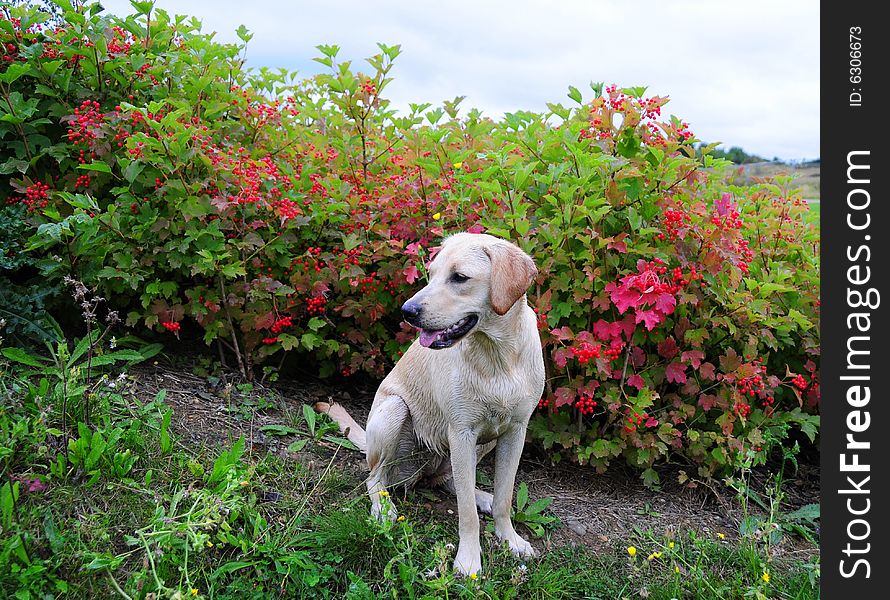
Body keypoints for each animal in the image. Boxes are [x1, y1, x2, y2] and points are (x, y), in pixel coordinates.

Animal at [320, 232, 540, 576]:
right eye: (431, 273)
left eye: (459, 277)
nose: (407, 311)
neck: (497, 356)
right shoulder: (461, 432)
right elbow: (466, 513)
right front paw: (468, 560)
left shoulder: (515, 431)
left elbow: (504, 498)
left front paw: (510, 540)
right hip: (394, 411)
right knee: (375, 478)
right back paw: (384, 508)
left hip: (481, 444)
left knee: (450, 481)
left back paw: (482, 496)